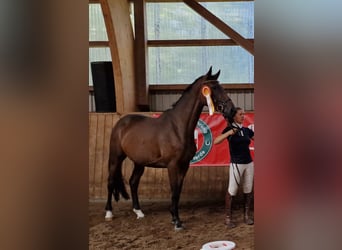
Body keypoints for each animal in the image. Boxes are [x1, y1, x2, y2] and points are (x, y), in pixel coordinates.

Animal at [104, 67, 235, 229]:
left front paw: (174, 217)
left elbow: (177, 191)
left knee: (133, 182)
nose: (231, 110)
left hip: (139, 163)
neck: (178, 127)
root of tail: (121, 123)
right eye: (214, 88)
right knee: (110, 181)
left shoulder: (184, 166)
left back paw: (139, 212)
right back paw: (109, 213)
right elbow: (174, 191)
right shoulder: (172, 166)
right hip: (116, 158)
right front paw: (177, 221)